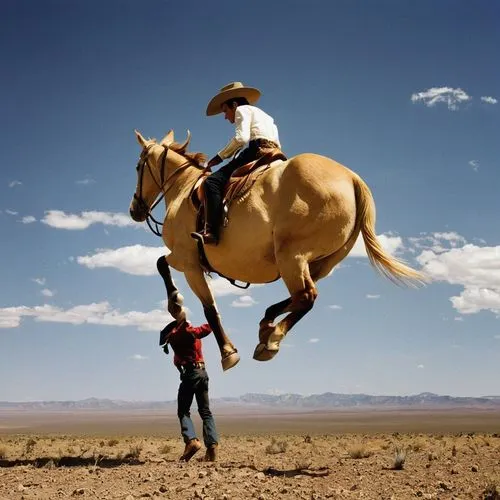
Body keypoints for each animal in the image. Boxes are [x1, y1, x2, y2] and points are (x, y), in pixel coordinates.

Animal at [129, 129, 426, 372]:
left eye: (137, 166)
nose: (134, 210)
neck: (183, 189)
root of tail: (352, 179)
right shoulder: (185, 259)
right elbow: (161, 263)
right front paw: (175, 304)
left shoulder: (189, 262)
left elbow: (207, 306)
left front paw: (225, 351)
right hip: (320, 263)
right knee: (300, 297)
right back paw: (267, 327)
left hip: (291, 256)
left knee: (305, 297)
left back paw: (271, 339)